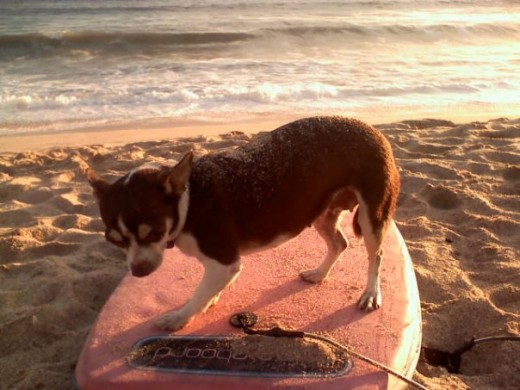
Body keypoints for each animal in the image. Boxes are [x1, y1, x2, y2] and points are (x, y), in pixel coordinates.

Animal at [87, 116, 400, 332]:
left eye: (153, 233)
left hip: (372, 216)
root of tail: (374, 130)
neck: (189, 199)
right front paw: (211, 299)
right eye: (115, 240)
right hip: (320, 213)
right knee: (339, 243)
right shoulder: (220, 266)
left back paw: (371, 294)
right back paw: (319, 274)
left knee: (376, 254)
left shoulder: (224, 262)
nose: (138, 271)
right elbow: (209, 290)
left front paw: (180, 317)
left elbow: (198, 295)